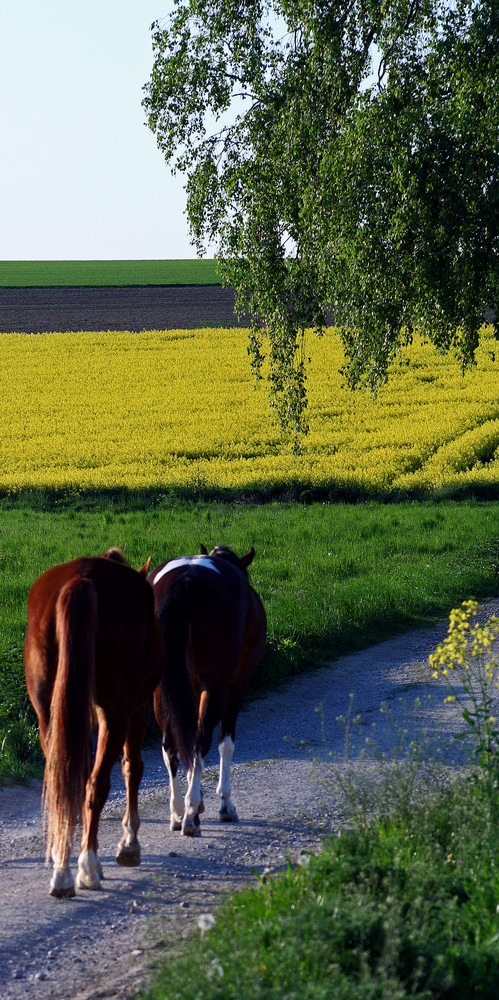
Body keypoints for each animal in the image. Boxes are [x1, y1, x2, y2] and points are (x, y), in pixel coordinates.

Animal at [24, 548, 164, 900]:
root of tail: (83, 579)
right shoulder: (136, 710)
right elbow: (132, 768)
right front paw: (128, 845)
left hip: (49, 715)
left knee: (66, 784)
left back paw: (63, 871)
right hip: (117, 713)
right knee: (96, 784)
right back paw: (86, 868)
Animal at [148, 548, 268, 836]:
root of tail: (186, 580)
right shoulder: (236, 684)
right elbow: (226, 743)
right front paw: (224, 804)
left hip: (162, 691)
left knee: (170, 746)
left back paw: (178, 811)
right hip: (217, 688)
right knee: (200, 740)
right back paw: (190, 813)